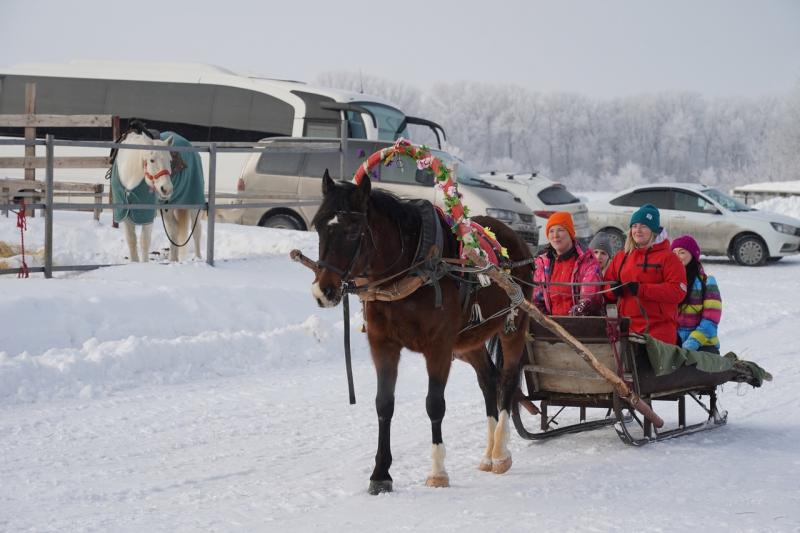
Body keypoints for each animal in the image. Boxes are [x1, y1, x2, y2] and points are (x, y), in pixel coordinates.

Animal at [310, 170, 532, 494]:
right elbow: (384, 404)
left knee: (508, 380)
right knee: (489, 380)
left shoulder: (438, 347)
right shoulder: (383, 344)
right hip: (468, 341)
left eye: (352, 231)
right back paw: (488, 454)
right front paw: (381, 473)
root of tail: (515, 239)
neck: (412, 267)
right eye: (318, 227)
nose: (323, 291)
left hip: (513, 325)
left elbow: (434, 404)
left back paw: (501, 453)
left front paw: (438, 471)